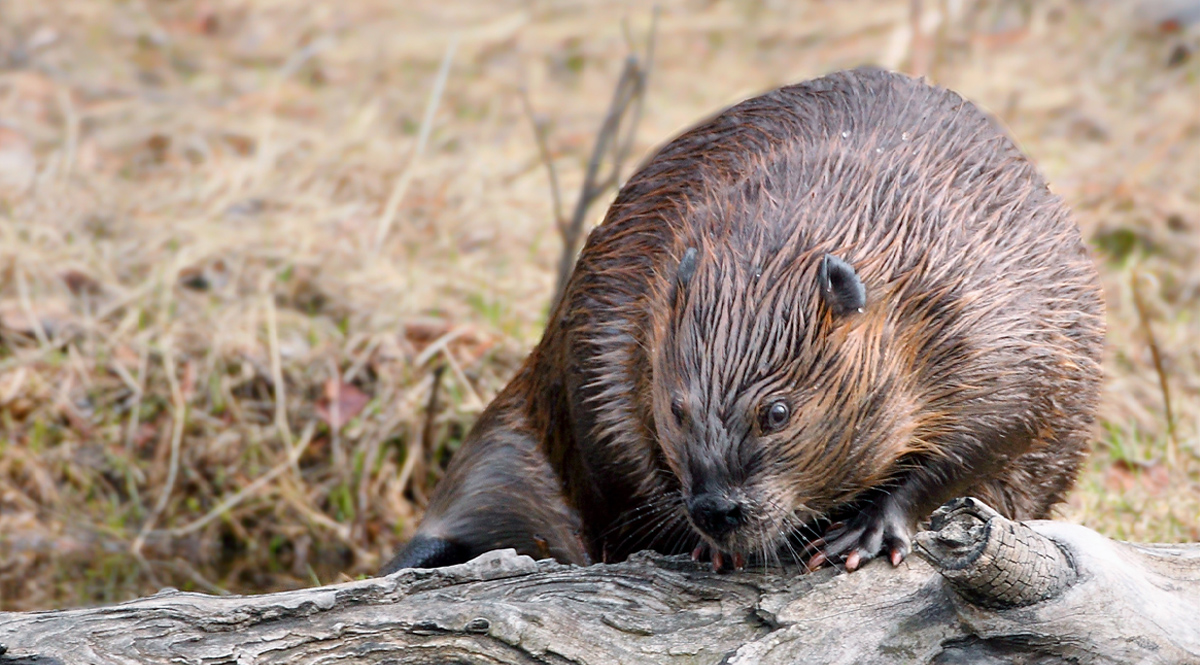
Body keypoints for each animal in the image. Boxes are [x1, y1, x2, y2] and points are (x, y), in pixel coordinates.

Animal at [379, 68, 1099, 573]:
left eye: (777, 412)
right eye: (676, 408)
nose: (719, 509)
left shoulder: (998, 319)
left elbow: (995, 432)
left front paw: (864, 533)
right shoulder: (618, 314)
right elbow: (617, 446)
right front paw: (708, 545)